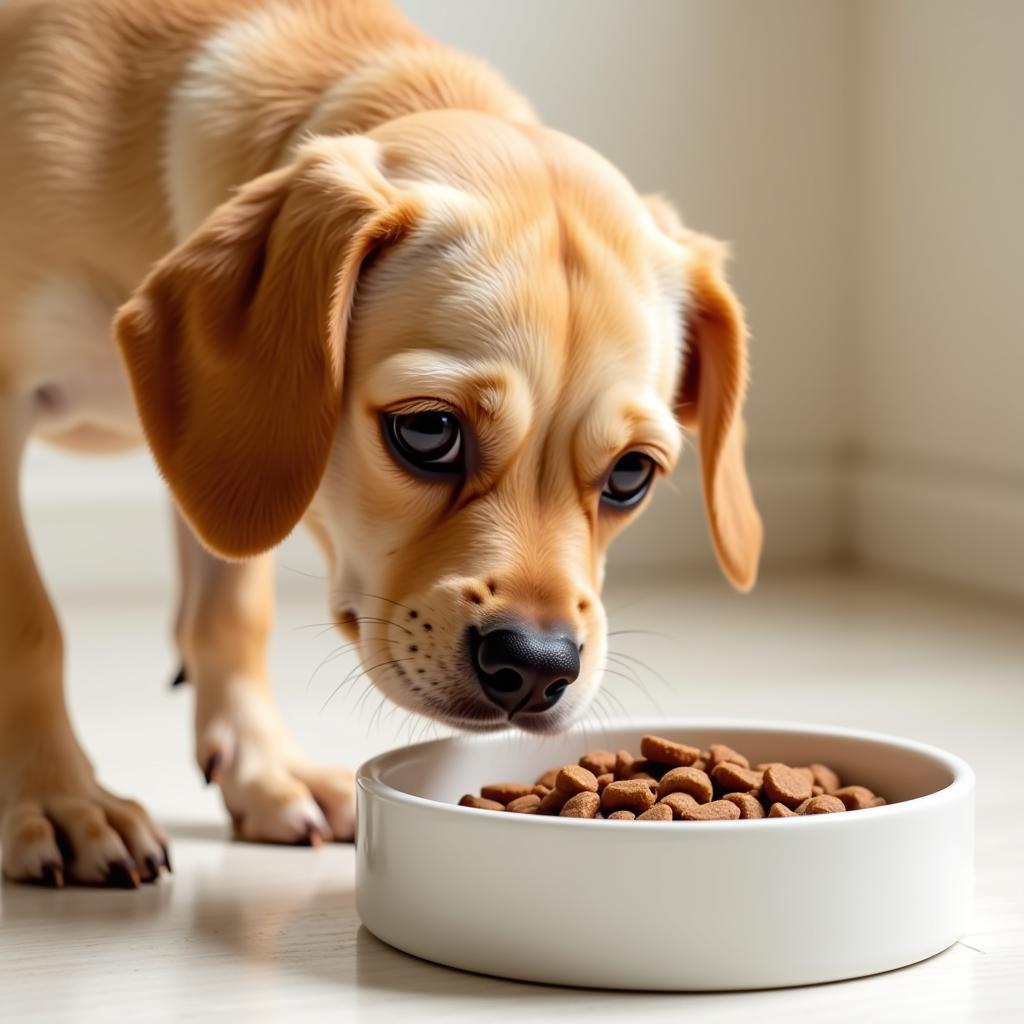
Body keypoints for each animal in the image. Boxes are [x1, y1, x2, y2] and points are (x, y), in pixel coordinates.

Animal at [0, 0, 761, 884]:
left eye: (631, 475)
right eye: (428, 430)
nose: (538, 667)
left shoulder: (212, 450)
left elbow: (231, 608)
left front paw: (264, 769)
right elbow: (30, 625)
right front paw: (61, 799)